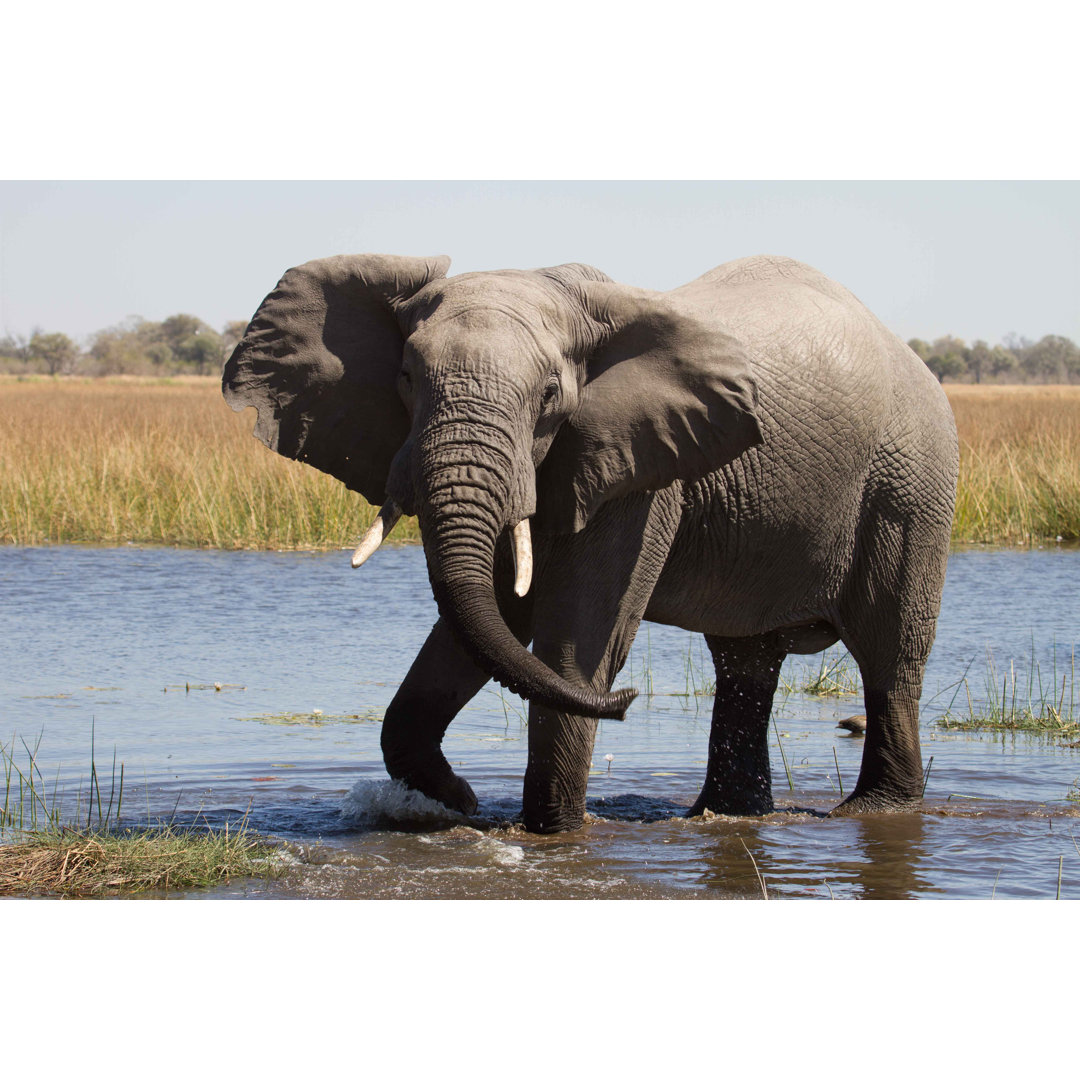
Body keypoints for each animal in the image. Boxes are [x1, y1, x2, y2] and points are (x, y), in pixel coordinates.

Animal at [223, 252, 959, 833]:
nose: (627, 701)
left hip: (910, 486)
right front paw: (455, 805)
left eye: (551, 392)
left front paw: (549, 834)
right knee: (745, 663)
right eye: (405, 378)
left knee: (890, 653)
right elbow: (489, 617)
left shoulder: (641, 469)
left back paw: (874, 812)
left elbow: (576, 641)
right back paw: (724, 816)